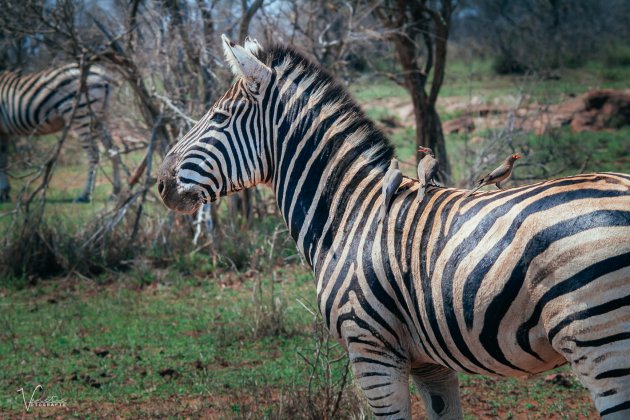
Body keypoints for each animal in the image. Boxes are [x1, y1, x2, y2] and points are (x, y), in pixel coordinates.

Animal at [0, 63, 123, 203]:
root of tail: (101, 74)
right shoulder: (3, 133)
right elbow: (3, 159)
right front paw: (4, 192)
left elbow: (1, 160)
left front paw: (3, 193)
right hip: (99, 118)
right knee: (113, 150)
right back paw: (115, 192)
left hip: (80, 114)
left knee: (93, 154)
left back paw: (85, 195)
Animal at [158, 37, 630, 420]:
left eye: (220, 117)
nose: (161, 183)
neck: (348, 214)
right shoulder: (429, 360)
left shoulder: (371, 350)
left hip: (603, 346)